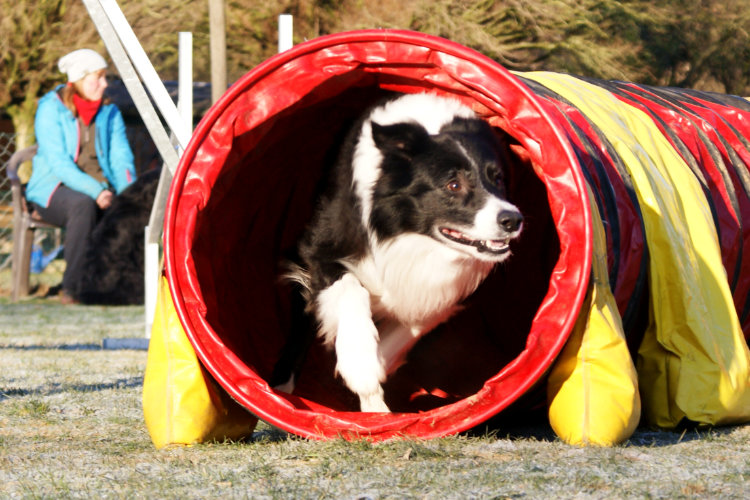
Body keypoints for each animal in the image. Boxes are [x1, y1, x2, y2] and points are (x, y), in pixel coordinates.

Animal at [284, 93, 524, 410]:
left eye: (497, 179)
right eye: (453, 184)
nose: (513, 220)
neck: (407, 233)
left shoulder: (444, 291)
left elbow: (411, 323)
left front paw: (374, 382)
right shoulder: (318, 250)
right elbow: (350, 289)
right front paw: (360, 363)